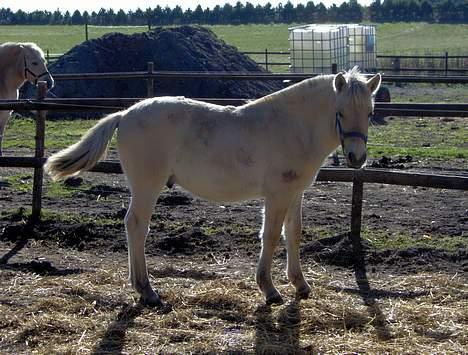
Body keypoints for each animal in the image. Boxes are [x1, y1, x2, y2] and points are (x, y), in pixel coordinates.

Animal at [44, 68, 380, 308]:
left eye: (370, 112)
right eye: (340, 111)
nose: (356, 157)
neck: (292, 126)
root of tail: (124, 114)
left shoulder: (295, 192)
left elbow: (293, 233)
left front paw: (300, 284)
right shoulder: (277, 195)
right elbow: (271, 236)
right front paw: (269, 290)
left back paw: (141, 288)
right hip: (147, 186)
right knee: (136, 226)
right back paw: (147, 291)